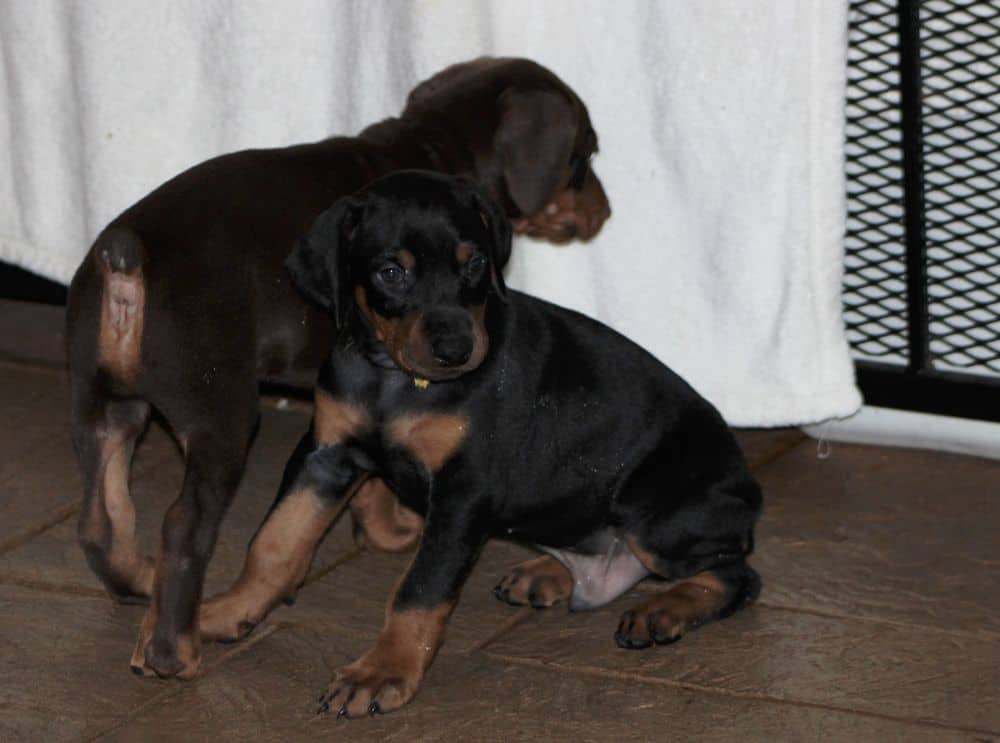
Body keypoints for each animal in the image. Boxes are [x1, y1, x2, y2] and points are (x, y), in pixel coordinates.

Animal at [64, 56, 608, 680]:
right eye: (584, 157)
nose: (605, 211)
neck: (433, 145)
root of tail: (127, 254)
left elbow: (367, 477)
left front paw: (382, 528)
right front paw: (395, 530)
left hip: (102, 405)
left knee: (100, 519)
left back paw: (136, 582)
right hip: (218, 417)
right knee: (182, 526)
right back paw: (172, 649)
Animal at [205, 171, 764, 716]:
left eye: (474, 263)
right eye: (391, 272)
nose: (457, 350)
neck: (398, 381)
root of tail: (748, 491)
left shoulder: (463, 491)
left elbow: (419, 589)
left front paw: (382, 672)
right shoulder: (325, 455)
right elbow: (274, 540)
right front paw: (230, 610)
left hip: (657, 513)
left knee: (736, 574)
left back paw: (662, 608)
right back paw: (547, 573)